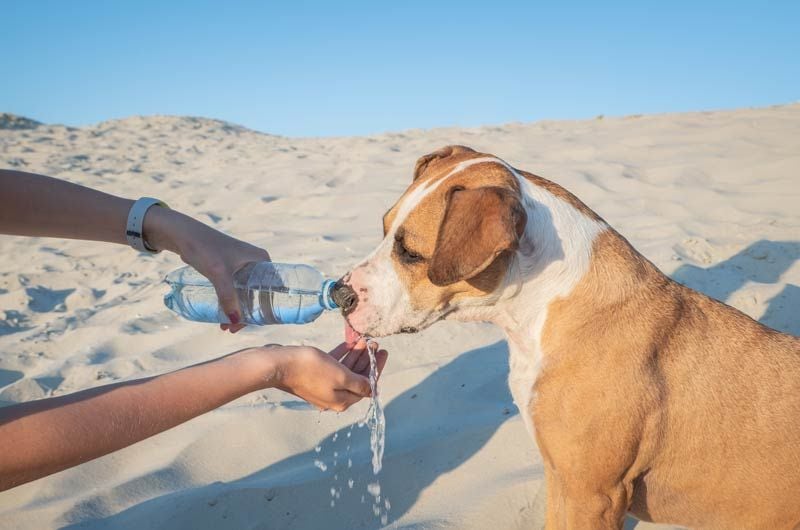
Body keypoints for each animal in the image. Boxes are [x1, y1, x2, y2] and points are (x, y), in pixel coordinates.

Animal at [334, 145, 800, 528]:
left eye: (411, 253)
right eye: (384, 229)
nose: (339, 293)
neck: (537, 309)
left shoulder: (592, 495)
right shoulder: (561, 479)